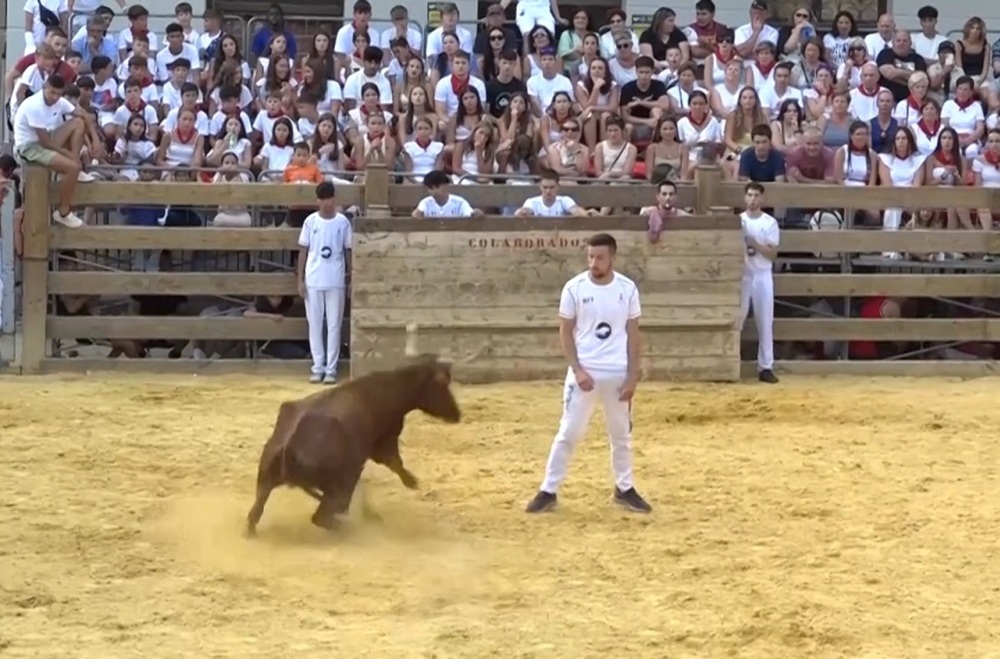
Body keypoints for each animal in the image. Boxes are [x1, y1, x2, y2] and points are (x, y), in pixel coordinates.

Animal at [244, 332, 462, 540]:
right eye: (442, 384)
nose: (457, 414)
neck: (390, 388)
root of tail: (290, 445)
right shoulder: (385, 441)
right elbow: (395, 462)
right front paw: (412, 482)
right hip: (342, 481)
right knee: (322, 516)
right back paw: (349, 527)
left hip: (265, 480)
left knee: (255, 513)